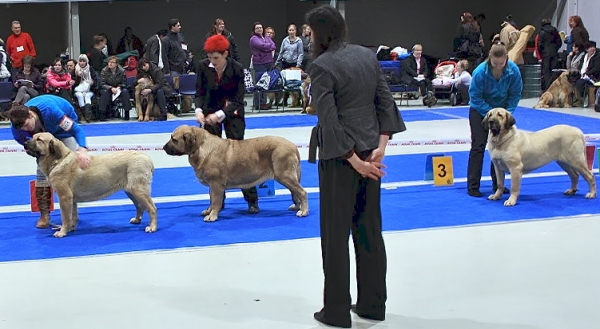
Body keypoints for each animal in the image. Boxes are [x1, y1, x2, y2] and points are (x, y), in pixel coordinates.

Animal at [24, 131, 158, 236]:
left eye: (39, 139)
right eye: (33, 136)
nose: (25, 142)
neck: (58, 160)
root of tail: (147, 158)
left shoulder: (64, 197)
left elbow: (65, 217)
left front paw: (62, 232)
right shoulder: (71, 200)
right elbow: (73, 215)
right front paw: (71, 227)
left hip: (138, 190)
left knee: (152, 208)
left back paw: (152, 227)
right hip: (130, 191)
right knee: (140, 206)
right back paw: (137, 220)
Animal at [162, 124, 308, 222]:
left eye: (174, 139)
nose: (163, 147)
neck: (200, 147)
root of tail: (293, 146)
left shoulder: (216, 185)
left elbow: (215, 201)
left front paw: (212, 215)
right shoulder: (212, 186)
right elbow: (211, 200)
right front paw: (208, 211)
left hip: (285, 176)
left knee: (301, 192)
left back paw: (303, 211)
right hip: (287, 177)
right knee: (295, 193)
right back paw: (297, 207)